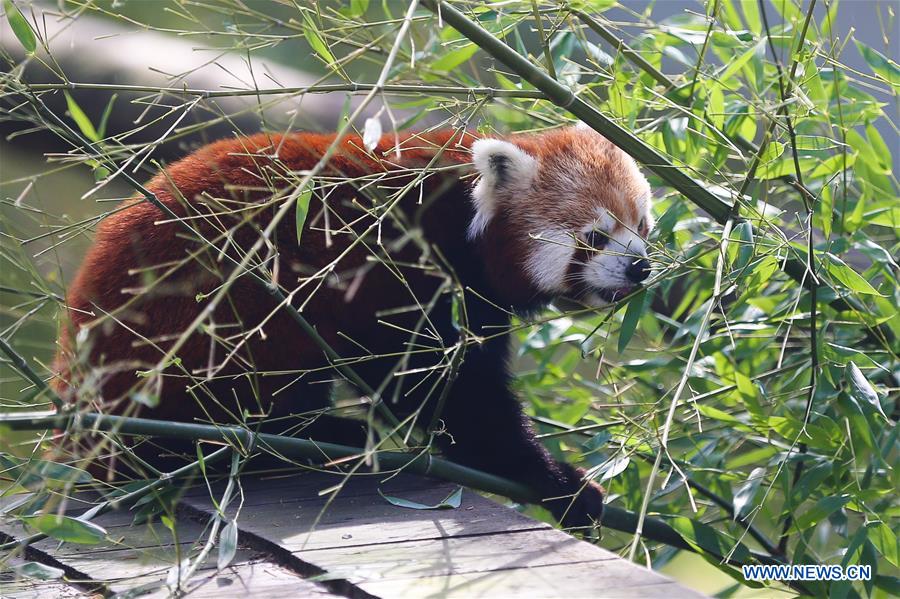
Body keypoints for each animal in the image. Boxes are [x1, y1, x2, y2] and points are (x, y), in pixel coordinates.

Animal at [52, 126, 652, 528]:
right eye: (595, 236)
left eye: (642, 226)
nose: (640, 267)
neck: (464, 216)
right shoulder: (405, 270)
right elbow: (444, 390)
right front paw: (550, 477)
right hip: (216, 309)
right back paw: (307, 438)